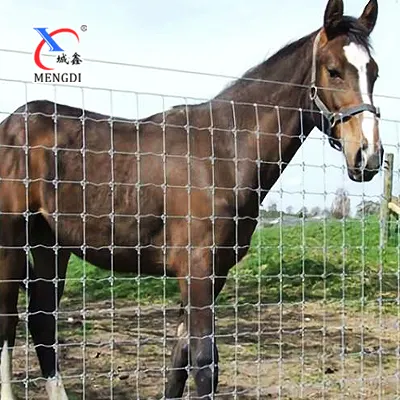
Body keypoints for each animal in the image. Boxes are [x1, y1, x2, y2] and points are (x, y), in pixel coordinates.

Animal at [0, 0, 382, 398]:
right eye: (333, 70)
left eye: (374, 72)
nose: (368, 155)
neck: (224, 150)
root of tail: (11, 122)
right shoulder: (198, 270)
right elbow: (203, 363)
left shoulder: (214, 274)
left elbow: (180, 360)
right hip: (11, 241)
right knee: (8, 316)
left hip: (50, 244)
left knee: (42, 320)